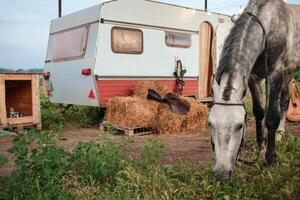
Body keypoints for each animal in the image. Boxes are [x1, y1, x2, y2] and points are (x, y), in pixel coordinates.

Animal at [209, 0, 300, 180]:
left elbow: (271, 117)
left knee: (284, 101)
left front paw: (271, 159)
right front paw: (261, 147)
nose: (221, 173)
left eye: (239, 126)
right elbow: (259, 111)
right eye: (210, 124)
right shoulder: (251, 77)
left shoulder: (275, 73)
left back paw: (280, 134)